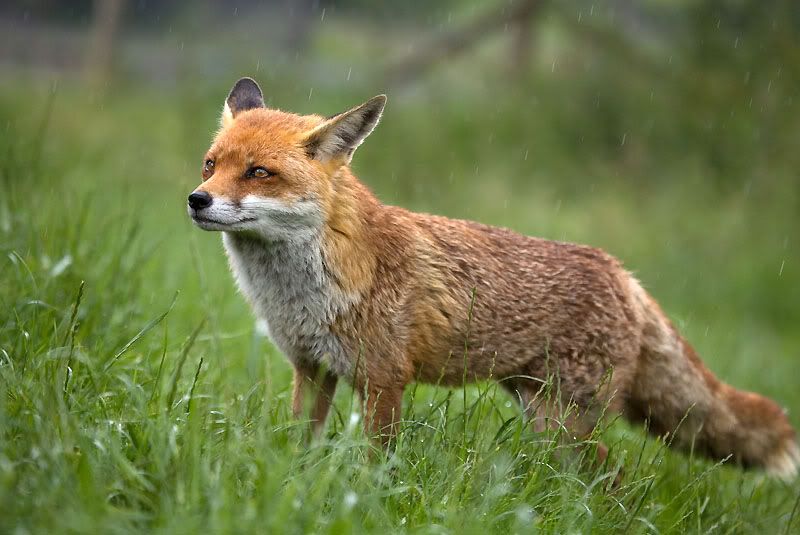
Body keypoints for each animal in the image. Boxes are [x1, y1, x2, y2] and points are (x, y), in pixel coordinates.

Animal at [188, 77, 798, 480]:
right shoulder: (311, 369)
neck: (301, 290)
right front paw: (297, 485)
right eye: (211, 165)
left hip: (561, 419)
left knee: (611, 472)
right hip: (538, 407)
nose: (197, 200)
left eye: (259, 173)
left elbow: (377, 465)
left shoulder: (384, 380)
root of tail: (624, 274)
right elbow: (300, 447)